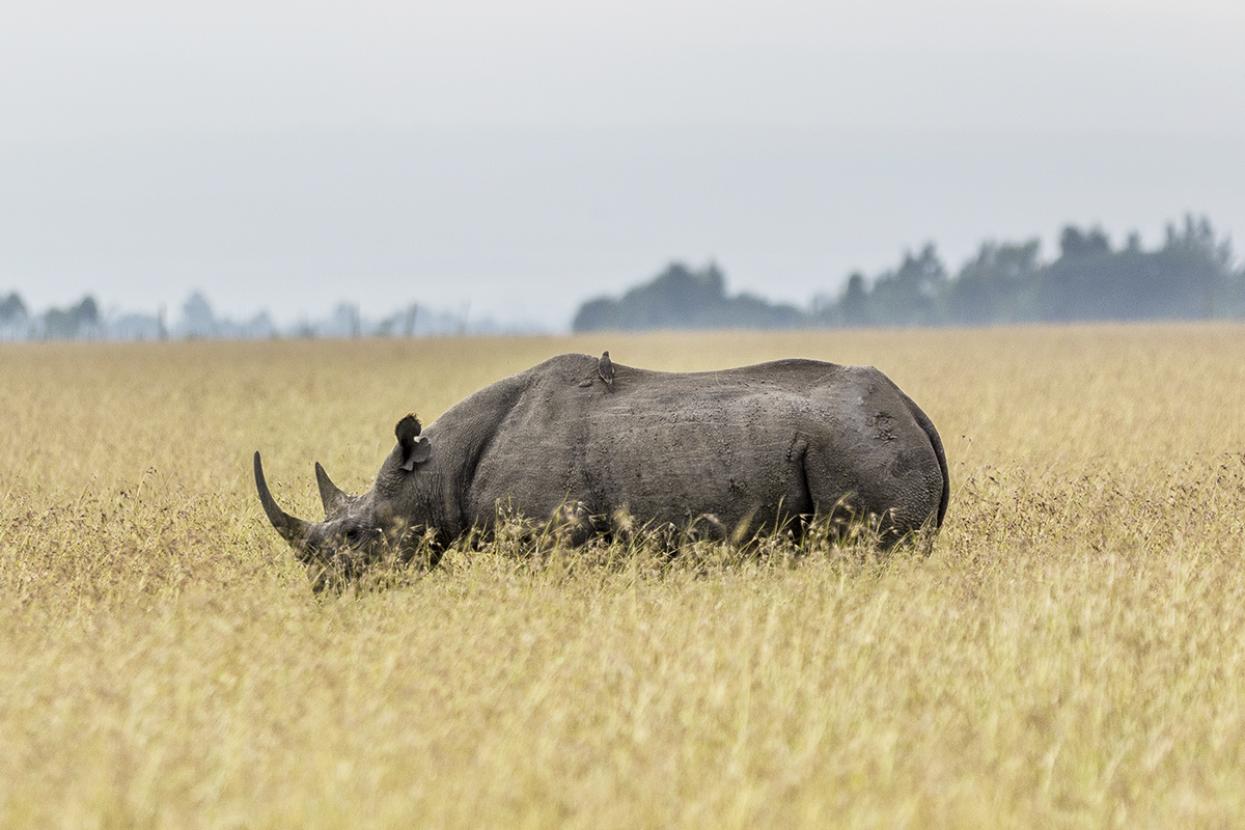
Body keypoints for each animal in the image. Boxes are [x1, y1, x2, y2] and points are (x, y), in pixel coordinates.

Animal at [255, 353, 948, 580]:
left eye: (355, 535)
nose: (322, 588)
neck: (434, 468)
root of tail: (914, 410)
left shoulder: (549, 539)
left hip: (862, 447)